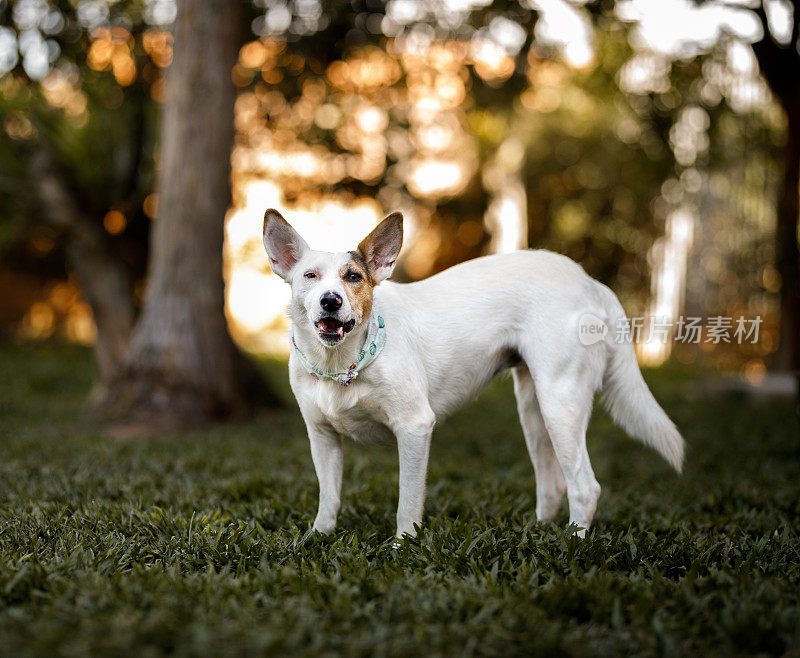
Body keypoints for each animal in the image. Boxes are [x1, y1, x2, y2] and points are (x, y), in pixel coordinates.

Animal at [262, 208, 680, 536]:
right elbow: (328, 500)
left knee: (585, 488)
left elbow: (407, 503)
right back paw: (539, 535)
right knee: (552, 486)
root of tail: (589, 281)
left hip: (561, 403)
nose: (330, 301)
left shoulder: (415, 428)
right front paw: (317, 540)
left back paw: (571, 547)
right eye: (310, 276)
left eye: (353, 277)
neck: (341, 364)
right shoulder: (323, 436)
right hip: (534, 409)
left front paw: (402, 548)